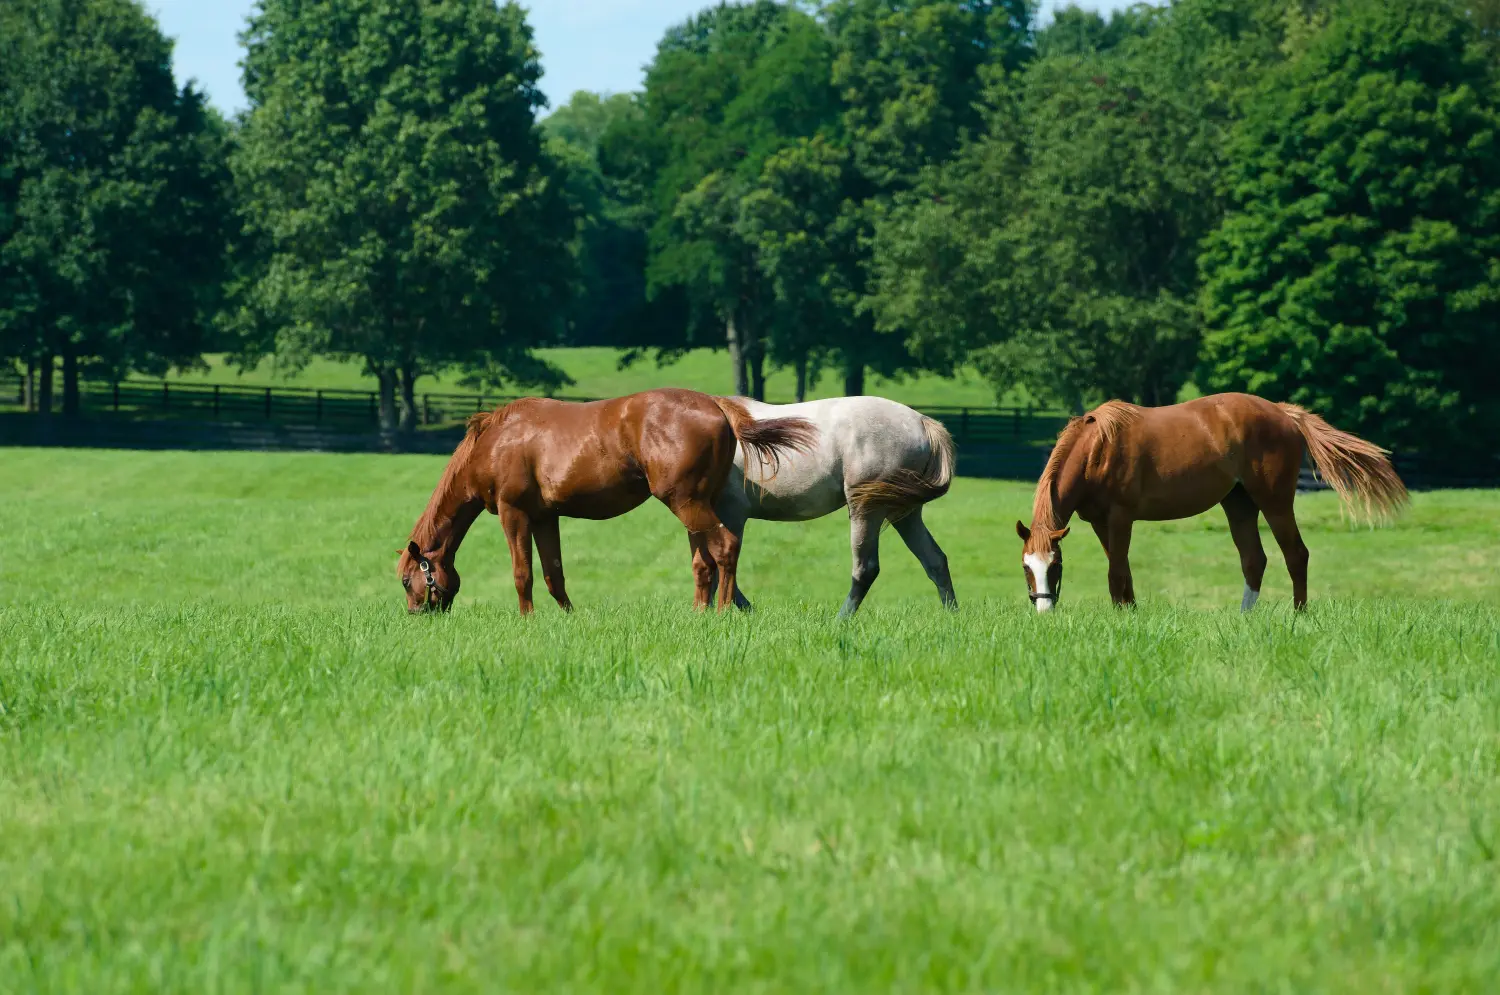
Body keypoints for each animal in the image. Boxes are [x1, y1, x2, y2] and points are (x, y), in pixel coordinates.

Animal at [396, 390, 822, 615]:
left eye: (406, 579)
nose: (417, 615)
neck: (496, 440)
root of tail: (716, 405)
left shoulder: (513, 513)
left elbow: (523, 574)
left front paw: (527, 620)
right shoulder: (544, 517)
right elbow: (553, 574)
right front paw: (568, 618)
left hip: (686, 502)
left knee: (725, 548)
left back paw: (719, 611)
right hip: (698, 505)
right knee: (704, 562)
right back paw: (700, 613)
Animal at [1014, 390, 1410, 612]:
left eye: (1055, 566)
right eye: (1026, 567)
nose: (1044, 611)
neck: (1098, 449)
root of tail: (1283, 412)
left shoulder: (1121, 517)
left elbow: (1116, 573)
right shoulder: (1100, 522)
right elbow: (1122, 570)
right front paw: (1129, 614)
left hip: (1275, 501)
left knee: (1296, 555)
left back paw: (1299, 615)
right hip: (1239, 504)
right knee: (1254, 560)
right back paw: (1244, 619)